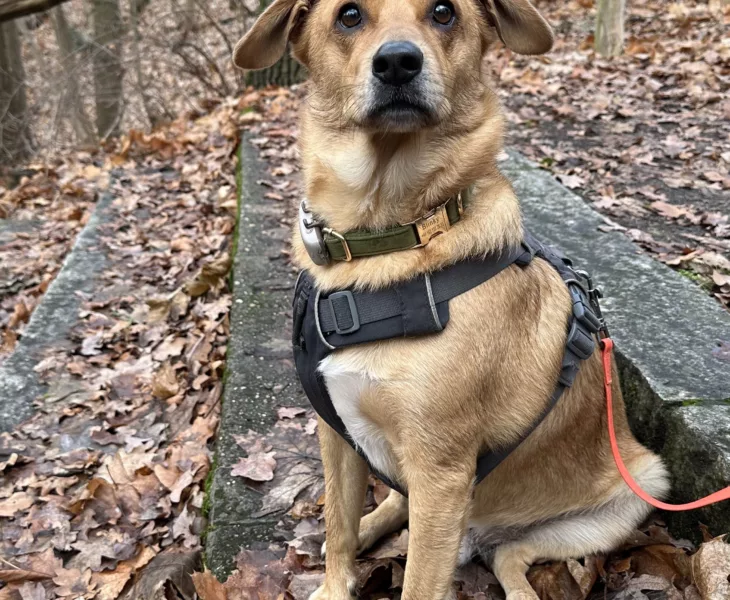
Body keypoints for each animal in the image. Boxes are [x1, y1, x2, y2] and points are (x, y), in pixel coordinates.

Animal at [233, 2, 664, 596]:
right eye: (349, 16)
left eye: (443, 13)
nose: (397, 63)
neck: (389, 236)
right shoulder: (338, 437)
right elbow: (338, 526)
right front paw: (335, 581)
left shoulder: (440, 472)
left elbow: (417, 581)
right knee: (391, 510)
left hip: (636, 489)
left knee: (507, 559)